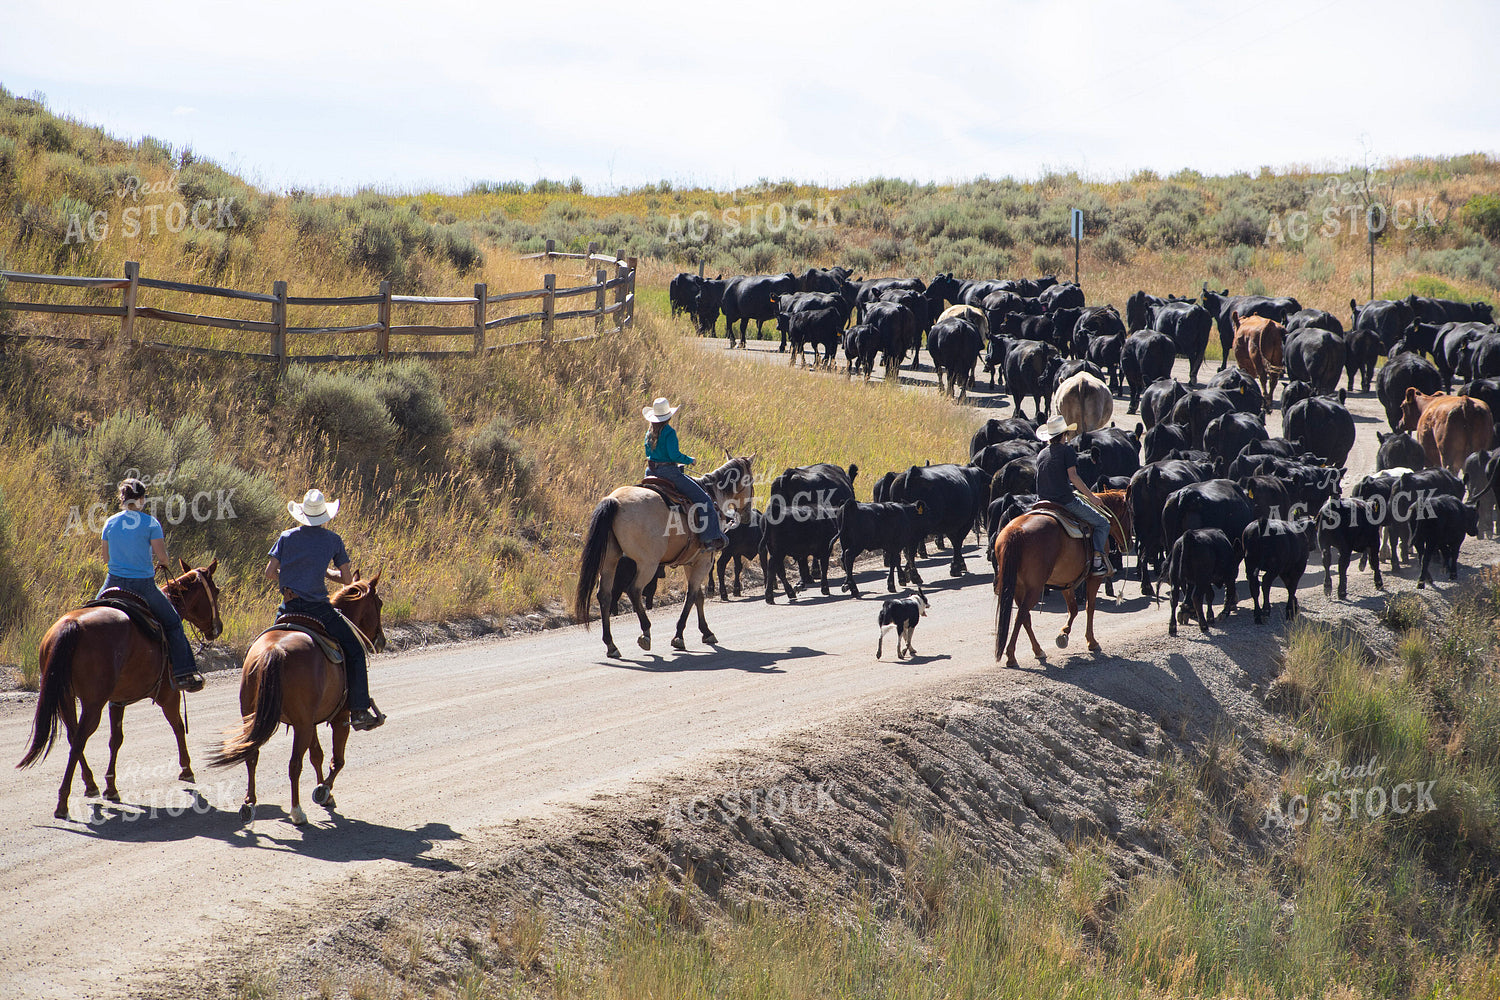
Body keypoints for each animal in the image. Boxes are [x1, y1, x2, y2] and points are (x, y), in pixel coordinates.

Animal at [759, 463, 857, 603]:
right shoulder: (823, 544)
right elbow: (822, 562)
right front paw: (819, 579)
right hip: (780, 548)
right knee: (776, 565)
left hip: (776, 547)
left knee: (779, 566)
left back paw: (792, 588)